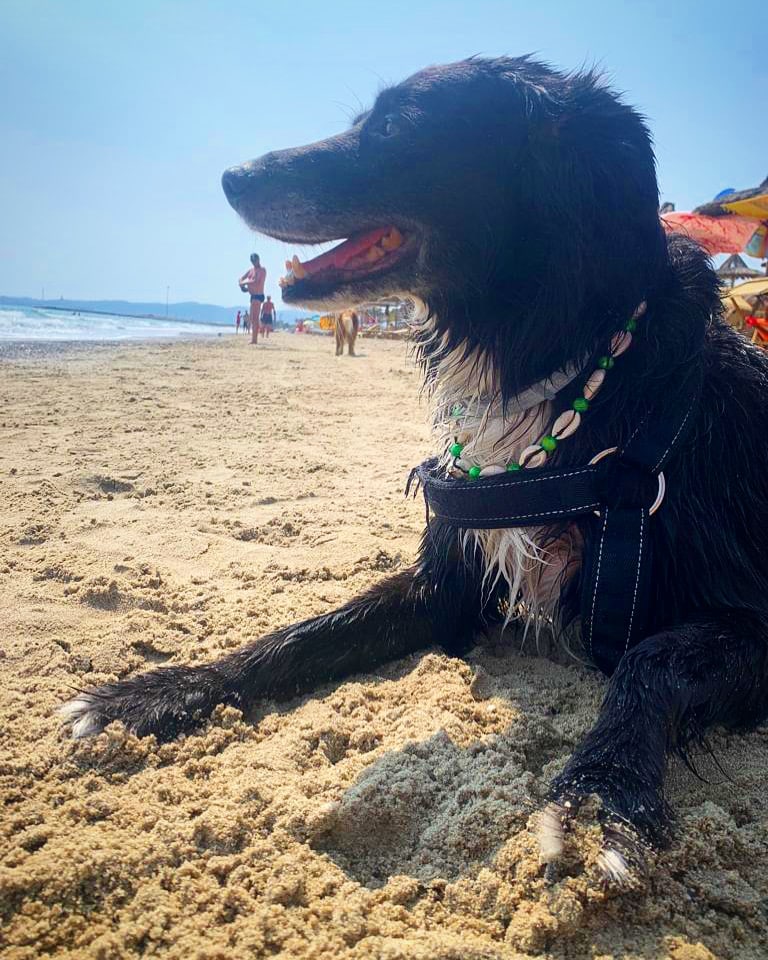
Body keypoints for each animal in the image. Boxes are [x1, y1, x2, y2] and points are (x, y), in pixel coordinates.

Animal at [62, 56, 768, 887]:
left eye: (395, 126)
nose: (232, 176)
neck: (554, 361)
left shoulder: (750, 617)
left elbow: (649, 661)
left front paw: (600, 798)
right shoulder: (452, 578)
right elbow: (308, 631)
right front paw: (160, 690)